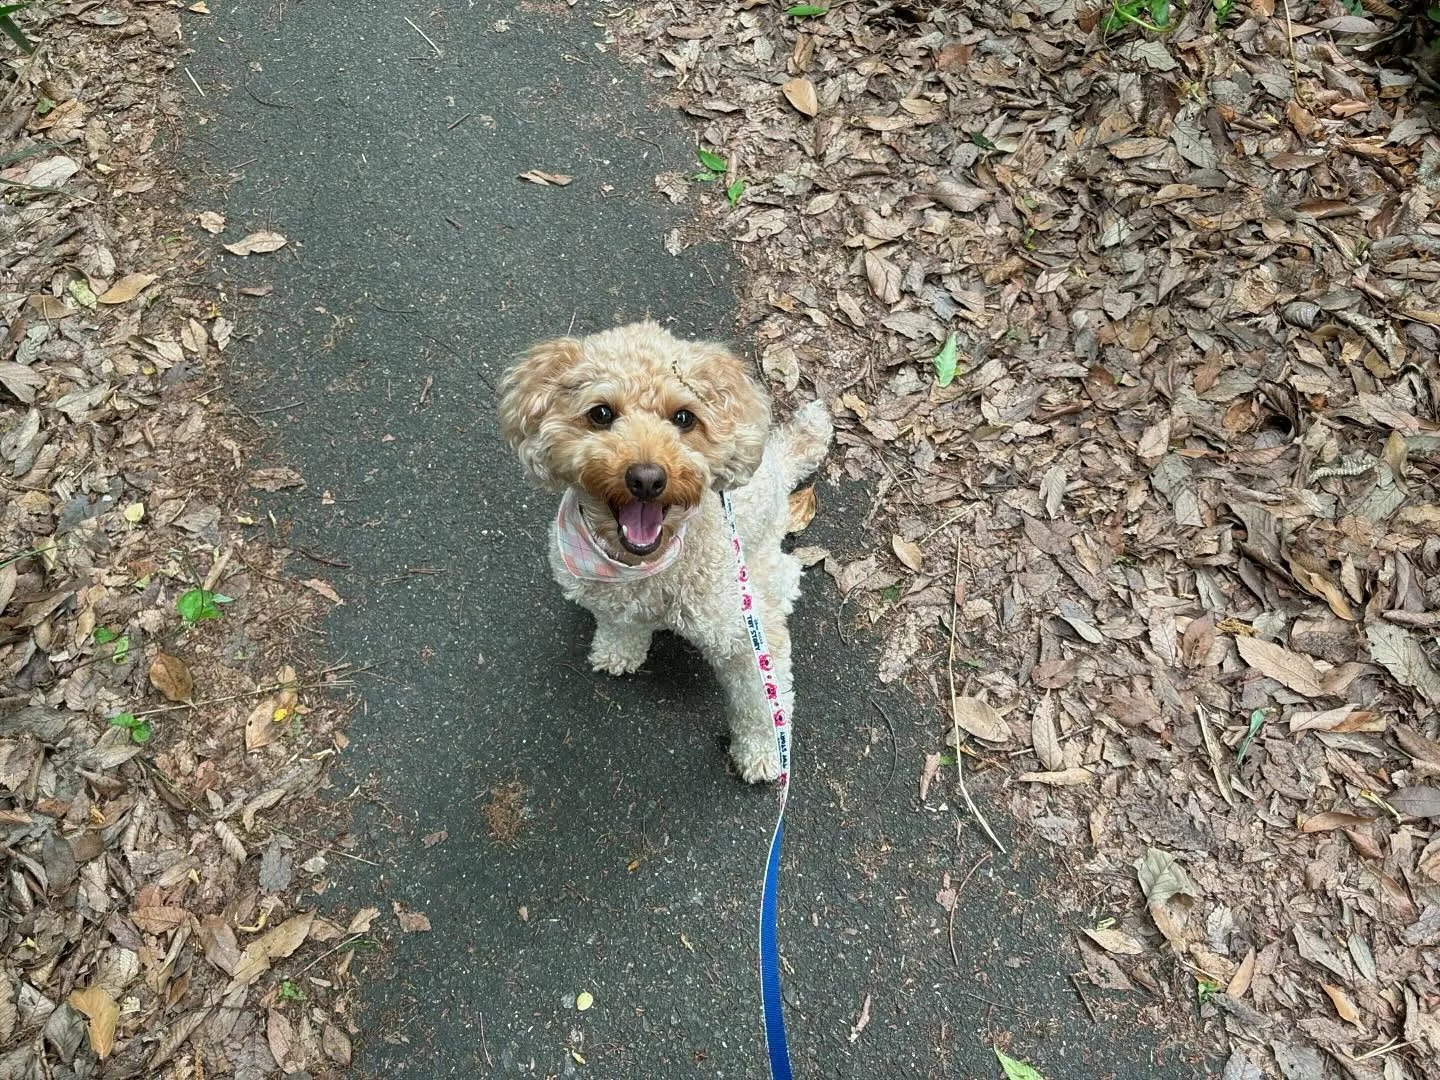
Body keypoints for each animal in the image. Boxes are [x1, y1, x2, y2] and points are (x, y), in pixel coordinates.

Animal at [498, 321, 829, 789]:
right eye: (601, 414)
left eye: (684, 417)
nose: (647, 478)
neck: (641, 568)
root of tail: (777, 461)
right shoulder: (607, 597)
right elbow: (619, 625)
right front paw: (617, 652)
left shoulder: (746, 638)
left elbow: (762, 702)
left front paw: (763, 754)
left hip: (763, 566)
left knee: (786, 576)